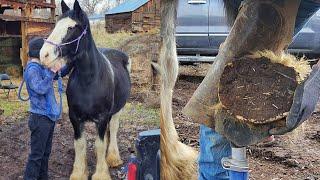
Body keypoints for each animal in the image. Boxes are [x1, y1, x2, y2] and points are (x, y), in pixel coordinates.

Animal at [39, 0, 131, 179]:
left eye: (71, 27)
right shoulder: (75, 117)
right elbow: (80, 144)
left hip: (118, 110)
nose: (44, 55)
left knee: (113, 128)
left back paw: (113, 158)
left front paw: (101, 173)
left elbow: (99, 144)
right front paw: (79, 172)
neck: (89, 80)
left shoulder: (102, 118)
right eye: (56, 24)